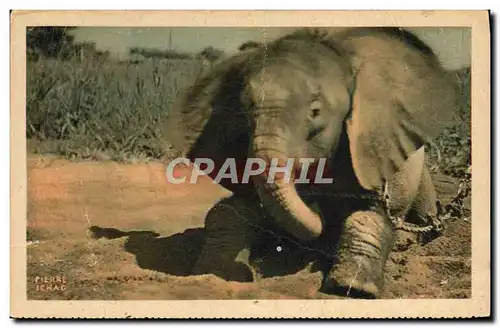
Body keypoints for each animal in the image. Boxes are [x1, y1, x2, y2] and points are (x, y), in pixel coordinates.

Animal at [166, 27, 462, 300]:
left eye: (315, 112)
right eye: (243, 112)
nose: (318, 207)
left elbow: (371, 214)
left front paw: (352, 289)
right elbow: (228, 211)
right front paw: (215, 273)